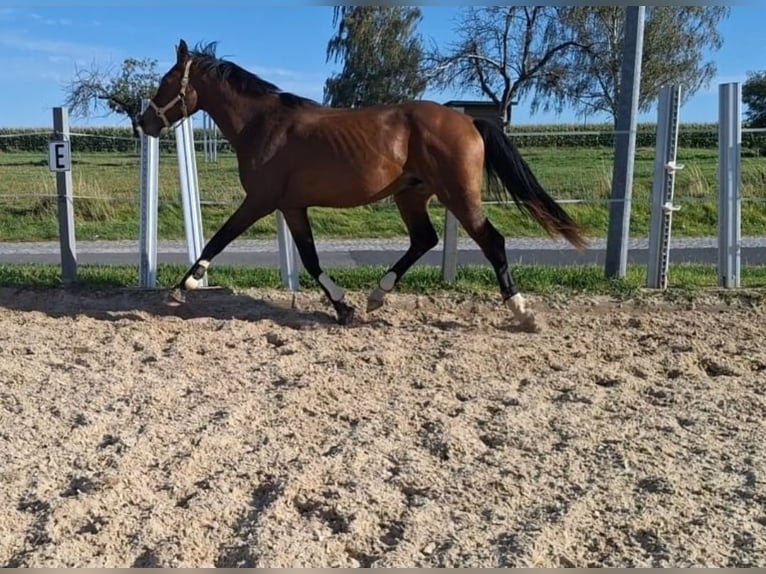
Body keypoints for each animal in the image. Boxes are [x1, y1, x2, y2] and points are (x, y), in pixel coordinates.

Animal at [135, 40, 588, 332]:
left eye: (166, 81)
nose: (144, 122)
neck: (263, 124)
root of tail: (470, 120)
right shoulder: (292, 206)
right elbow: (311, 259)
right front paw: (343, 308)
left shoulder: (260, 200)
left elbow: (220, 238)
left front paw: (184, 286)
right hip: (412, 195)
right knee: (424, 239)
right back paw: (377, 295)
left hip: (458, 195)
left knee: (492, 241)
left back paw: (522, 312)